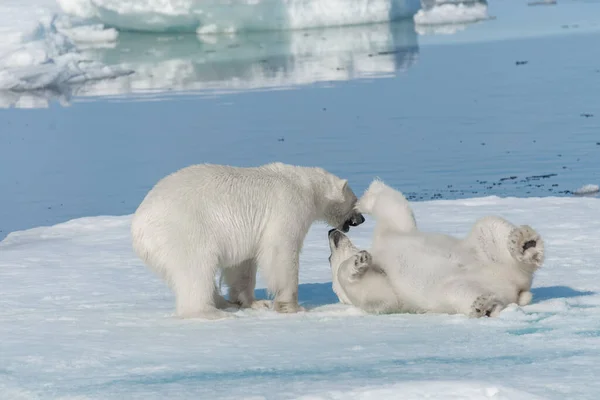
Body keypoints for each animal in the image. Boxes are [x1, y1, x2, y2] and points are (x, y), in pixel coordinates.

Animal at [132, 161, 366, 320]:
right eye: (355, 202)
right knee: (196, 267)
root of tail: (138, 227)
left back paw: (223, 303)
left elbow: (242, 264)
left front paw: (254, 302)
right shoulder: (288, 205)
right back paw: (210, 312)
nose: (361, 219)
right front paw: (292, 306)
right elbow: (280, 251)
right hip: (183, 229)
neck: (306, 185)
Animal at [328, 180, 544, 318]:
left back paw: (525, 243)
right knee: (458, 291)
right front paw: (359, 260)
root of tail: (517, 289)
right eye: (329, 258)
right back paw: (484, 306)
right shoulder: (390, 297)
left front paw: (365, 198)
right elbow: (379, 295)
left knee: (488, 226)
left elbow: (394, 211)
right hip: (447, 291)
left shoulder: (391, 235)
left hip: (486, 256)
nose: (331, 233)